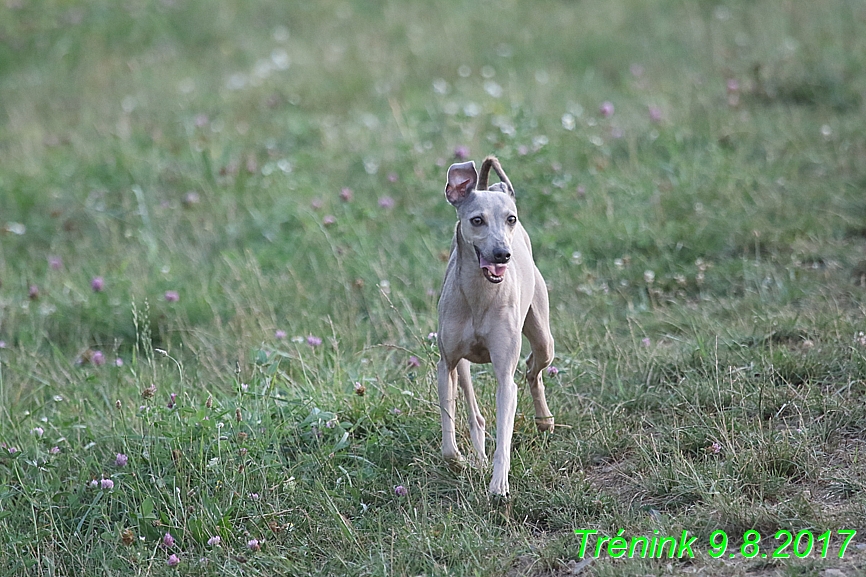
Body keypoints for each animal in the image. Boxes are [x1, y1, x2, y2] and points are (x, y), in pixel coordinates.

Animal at [438, 154, 552, 496]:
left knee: (532, 368)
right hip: (462, 365)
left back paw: (544, 419)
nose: (503, 254)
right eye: (477, 220)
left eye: (510, 219)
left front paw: (499, 484)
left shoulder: (504, 376)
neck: (479, 296)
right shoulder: (445, 364)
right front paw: (461, 462)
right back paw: (477, 457)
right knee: (475, 413)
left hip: (544, 338)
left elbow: (505, 428)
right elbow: (448, 433)